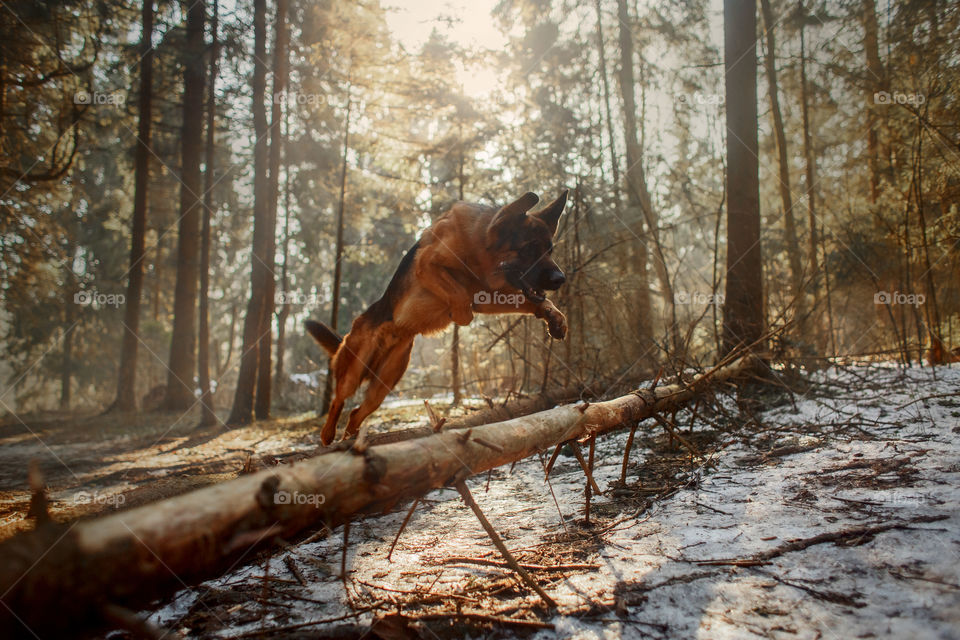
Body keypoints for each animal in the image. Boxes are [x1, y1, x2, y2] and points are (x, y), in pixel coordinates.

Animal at [304, 191, 568, 450]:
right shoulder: (427, 265)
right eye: (528, 248)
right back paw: (327, 436)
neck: (479, 246)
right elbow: (460, 295)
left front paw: (554, 317)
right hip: (353, 371)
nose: (561, 279)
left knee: (356, 413)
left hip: (382, 387)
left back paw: (350, 439)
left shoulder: (487, 296)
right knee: (338, 400)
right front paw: (460, 314)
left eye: (549, 251)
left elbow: (530, 301)